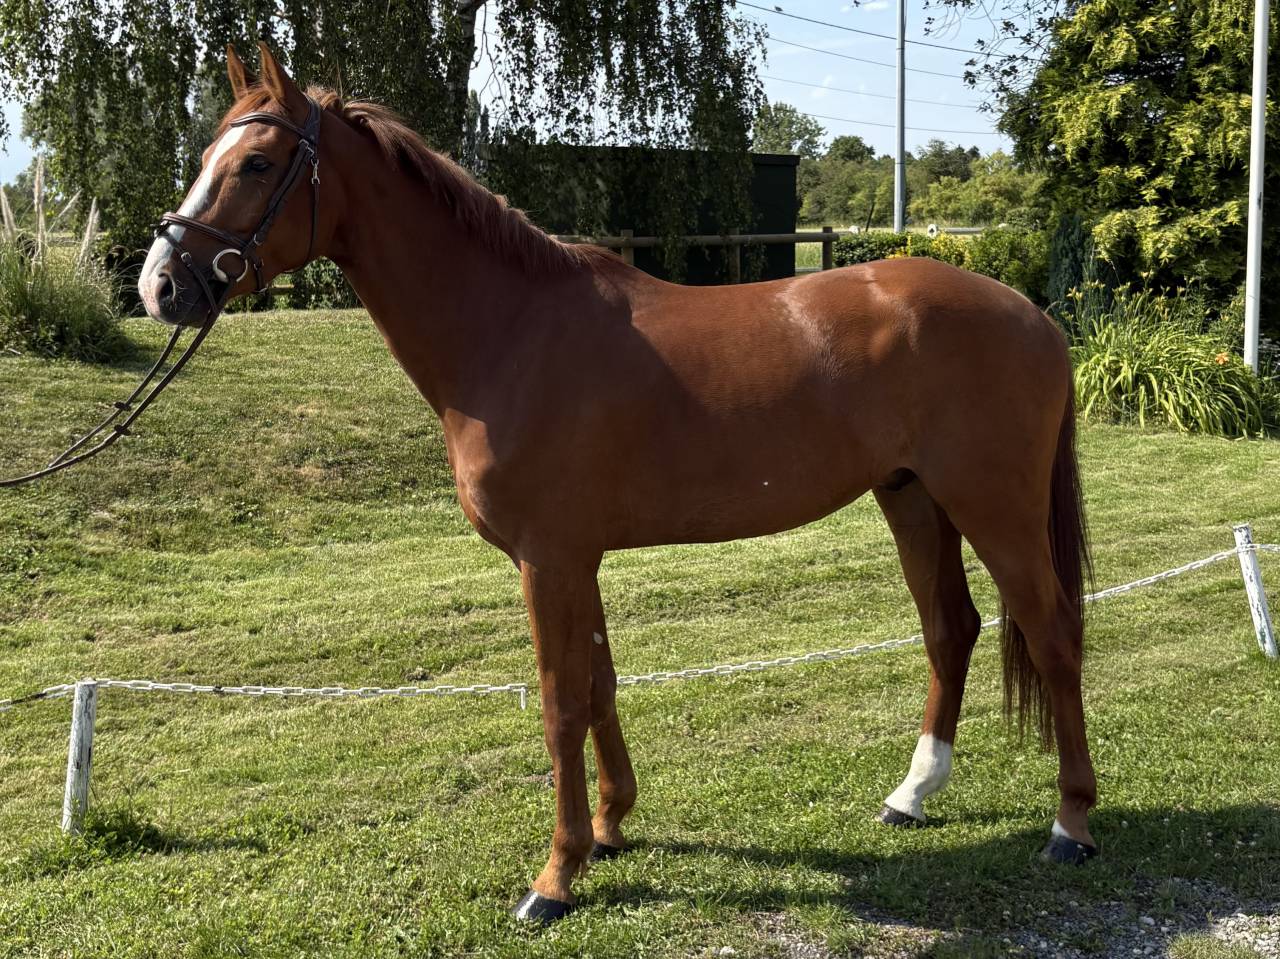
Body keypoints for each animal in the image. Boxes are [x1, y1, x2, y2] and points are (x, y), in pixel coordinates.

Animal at [137, 42, 1097, 923]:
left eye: (257, 163)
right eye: (209, 155)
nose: (161, 284)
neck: (511, 331)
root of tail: (1035, 316)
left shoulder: (548, 559)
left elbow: (560, 703)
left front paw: (554, 877)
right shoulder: (579, 559)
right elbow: (599, 685)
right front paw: (608, 828)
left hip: (994, 506)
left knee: (1052, 633)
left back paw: (1071, 825)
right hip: (911, 497)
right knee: (951, 629)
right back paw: (912, 794)